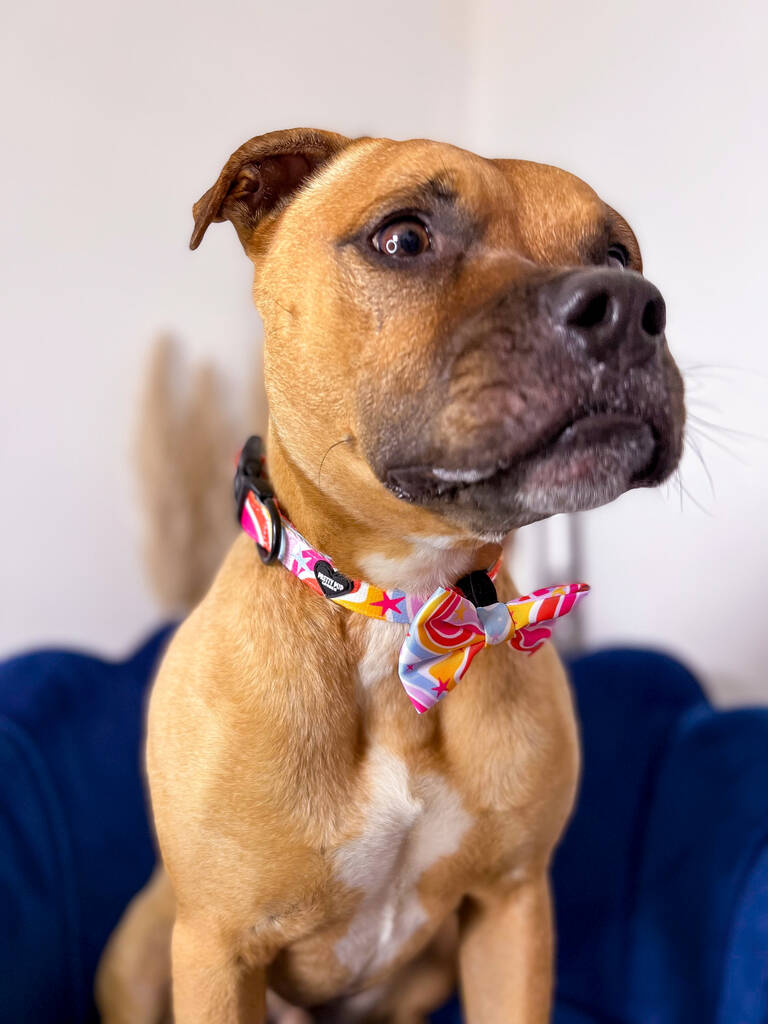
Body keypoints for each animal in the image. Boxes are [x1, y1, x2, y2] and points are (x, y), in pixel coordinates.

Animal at [97, 128, 684, 1024]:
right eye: (403, 238)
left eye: (617, 253)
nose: (628, 307)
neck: (402, 607)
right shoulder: (216, 946)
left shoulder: (512, 907)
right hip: (140, 948)